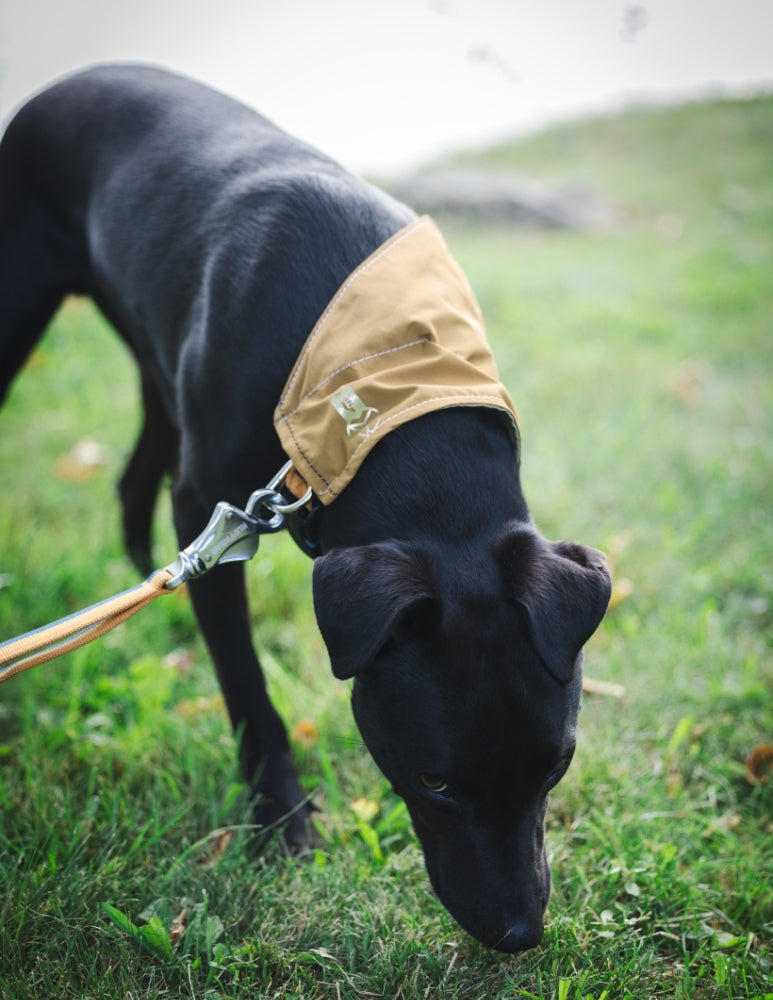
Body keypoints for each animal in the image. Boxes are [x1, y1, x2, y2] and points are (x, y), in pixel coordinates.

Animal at [0, 64, 608, 952]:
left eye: (555, 765)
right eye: (434, 780)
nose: (518, 933)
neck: (379, 384)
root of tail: (77, 77)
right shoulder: (211, 506)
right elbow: (248, 688)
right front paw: (282, 824)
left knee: (135, 474)